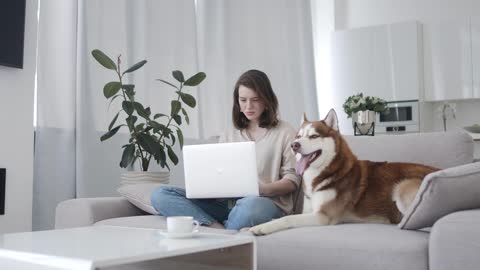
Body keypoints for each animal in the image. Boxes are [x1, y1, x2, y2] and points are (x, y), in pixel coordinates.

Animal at [248, 108, 438, 235]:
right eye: (298, 136)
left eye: (314, 136)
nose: (294, 145)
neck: (326, 173)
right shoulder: (309, 211)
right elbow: (286, 216)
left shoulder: (324, 216)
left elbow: (288, 218)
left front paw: (261, 227)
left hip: (402, 188)